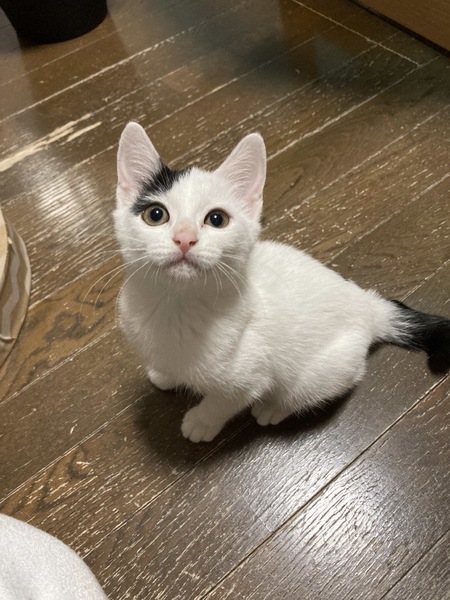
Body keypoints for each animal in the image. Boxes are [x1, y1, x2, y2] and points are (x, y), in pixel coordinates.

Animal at [114, 122, 450, 443]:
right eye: (155, 215)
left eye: (217, 219)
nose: (185, 239)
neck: (176, 304)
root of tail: (368, 305)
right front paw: (165, 374)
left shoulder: (251, 375)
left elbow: (224, 401)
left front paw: (201, 422)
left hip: (323, 372)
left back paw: (273, 408)